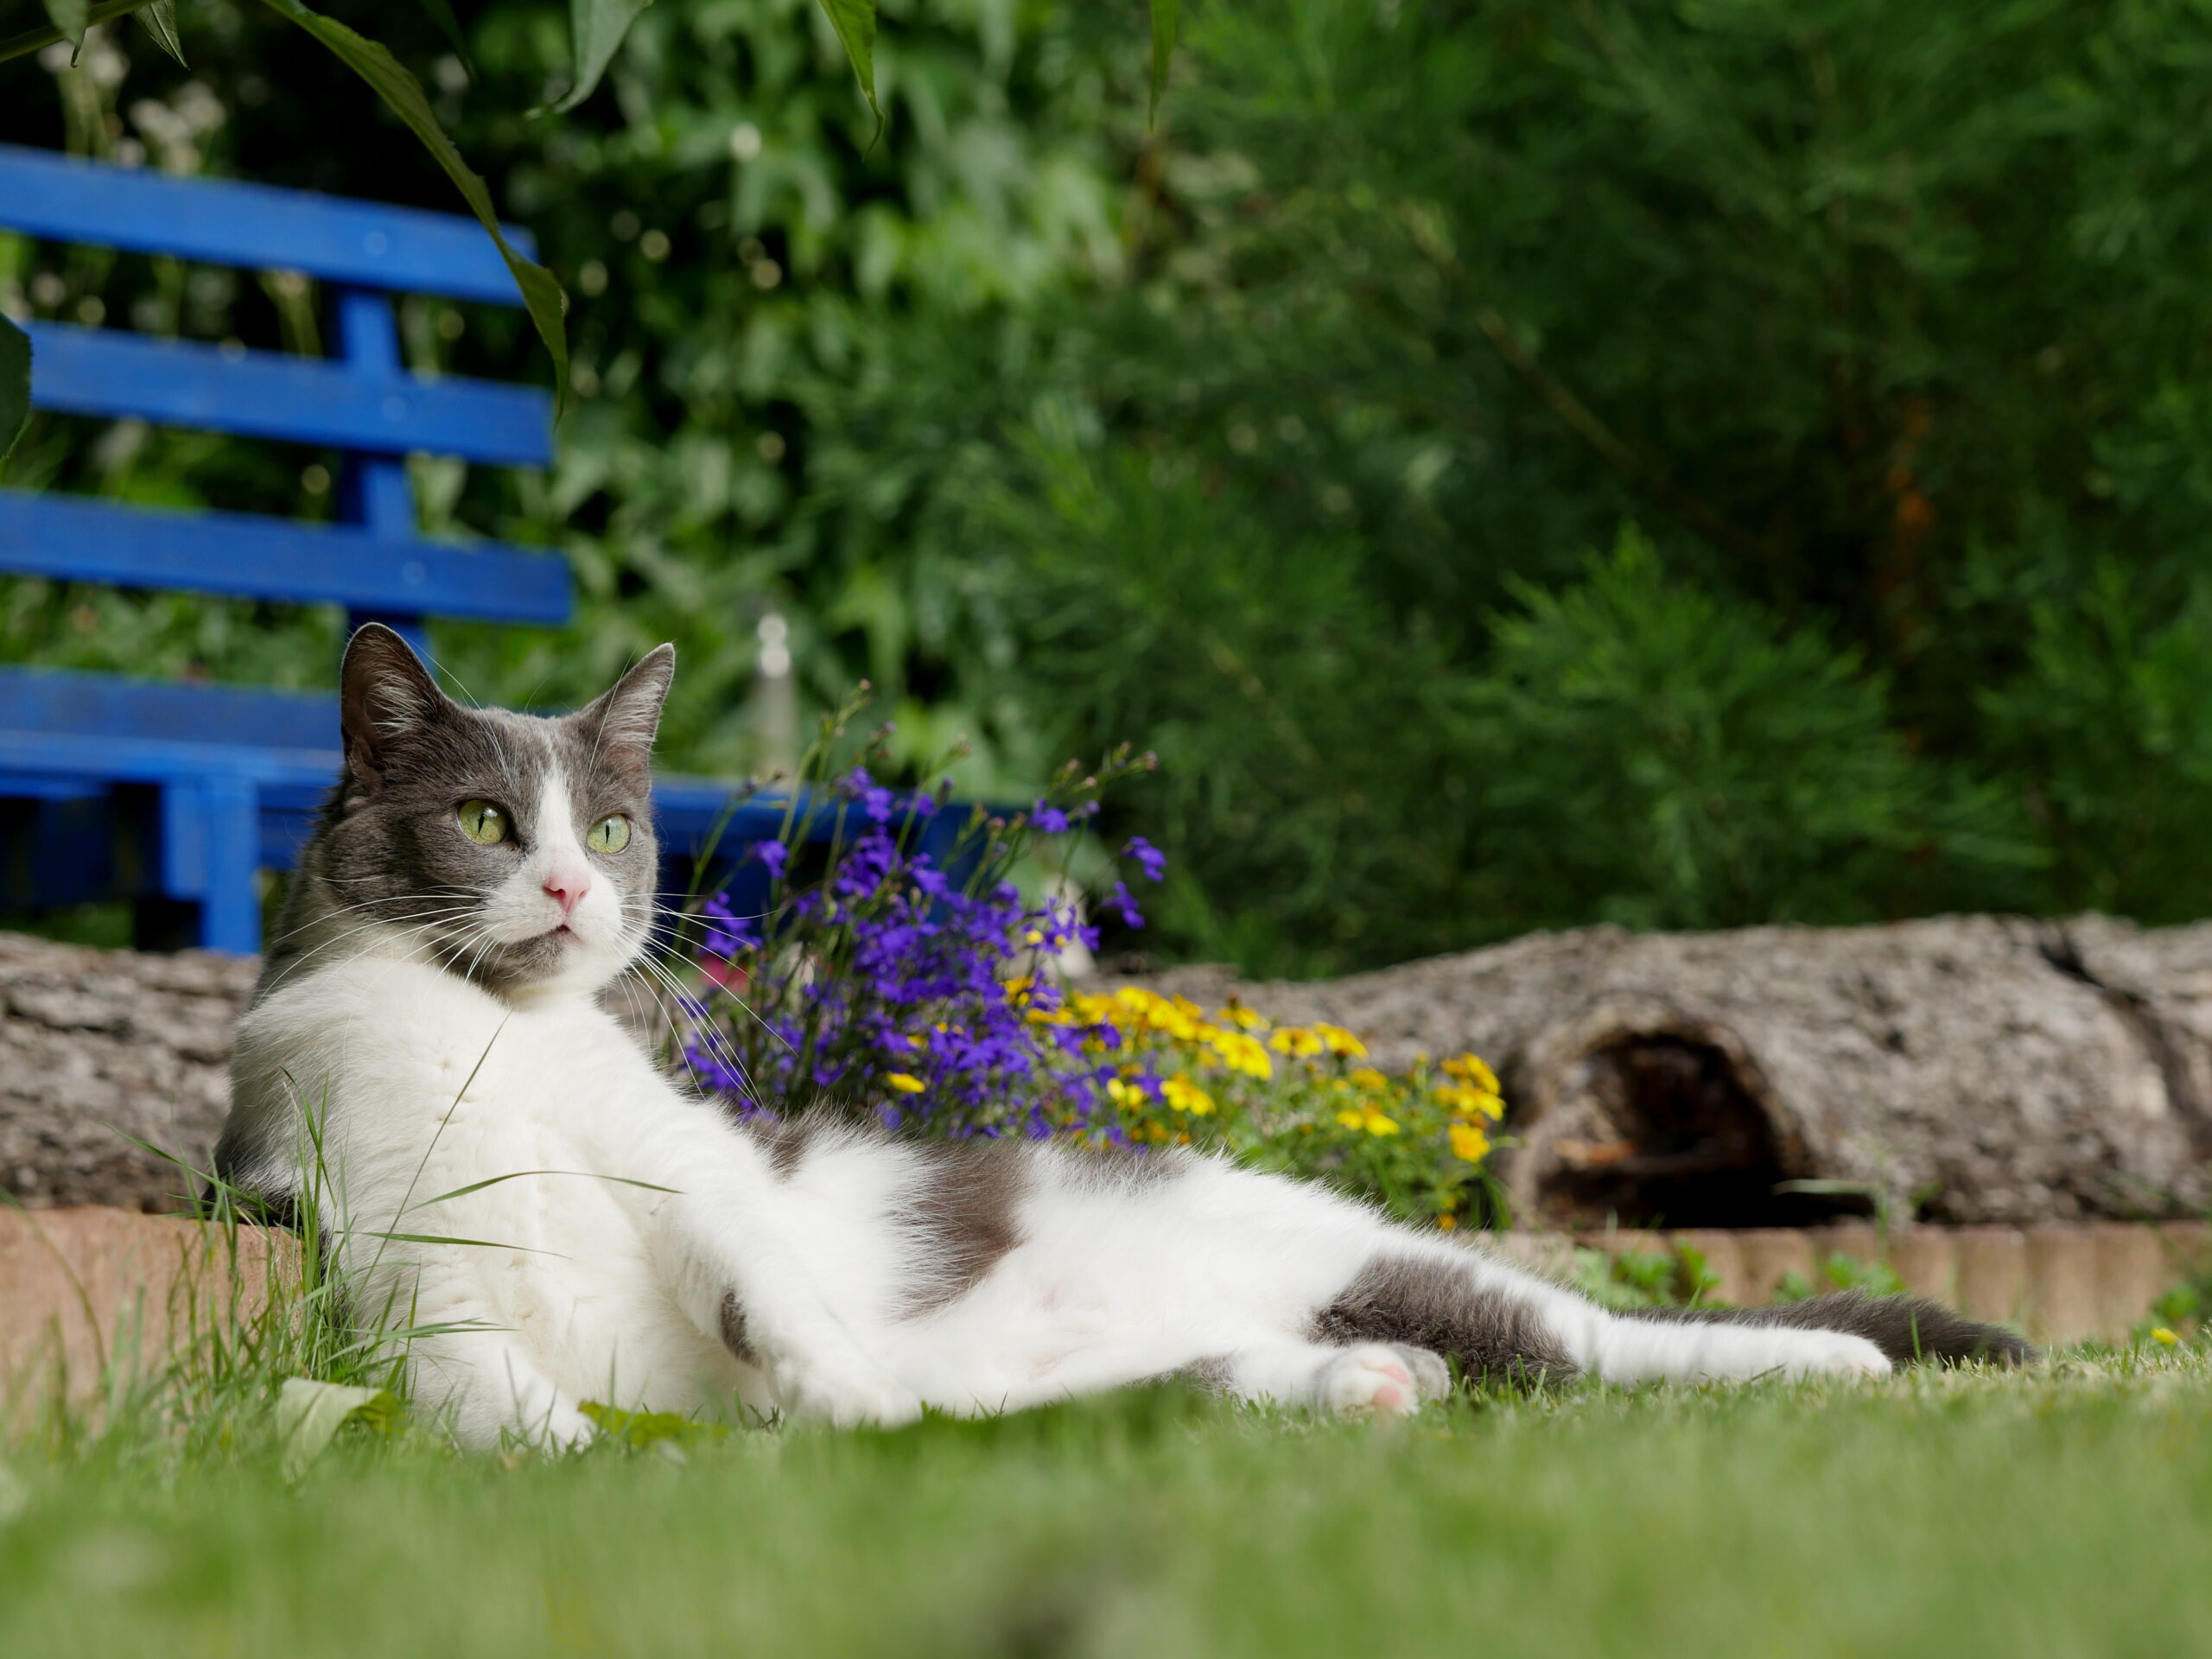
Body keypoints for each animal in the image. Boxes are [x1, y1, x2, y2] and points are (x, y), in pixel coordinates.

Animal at [215, 628, 2025, 1451]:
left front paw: (824, 1383)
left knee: (1609, 1342)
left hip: (1368, 1247)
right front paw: (570, 1453)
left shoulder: (685, 1160)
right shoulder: (374, 1228)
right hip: (1140, 1387)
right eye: (482, 820)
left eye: (606, 822)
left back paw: (1842, 1366)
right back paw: (1368, 1385)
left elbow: (748, 1262)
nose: (575, 890)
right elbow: (447, 1367)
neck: (485, 1032)